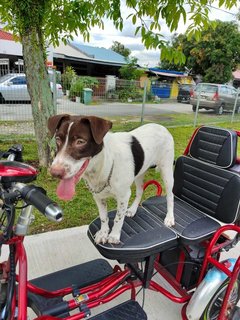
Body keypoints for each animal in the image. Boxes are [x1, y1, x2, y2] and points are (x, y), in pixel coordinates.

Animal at [47, 114, 174, 244]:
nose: (55, 173)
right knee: (140, 191)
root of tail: (161, 127)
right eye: (58, 139)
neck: (104, 165)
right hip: (139, 173)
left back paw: (169, 218)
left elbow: (118, 217)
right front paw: (103, 233)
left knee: (170, 196)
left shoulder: (124, 196)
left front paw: (114, 235)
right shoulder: (98, 196)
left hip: (167, 171)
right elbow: (103, 217)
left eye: (80, 141)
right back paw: (133, 210)